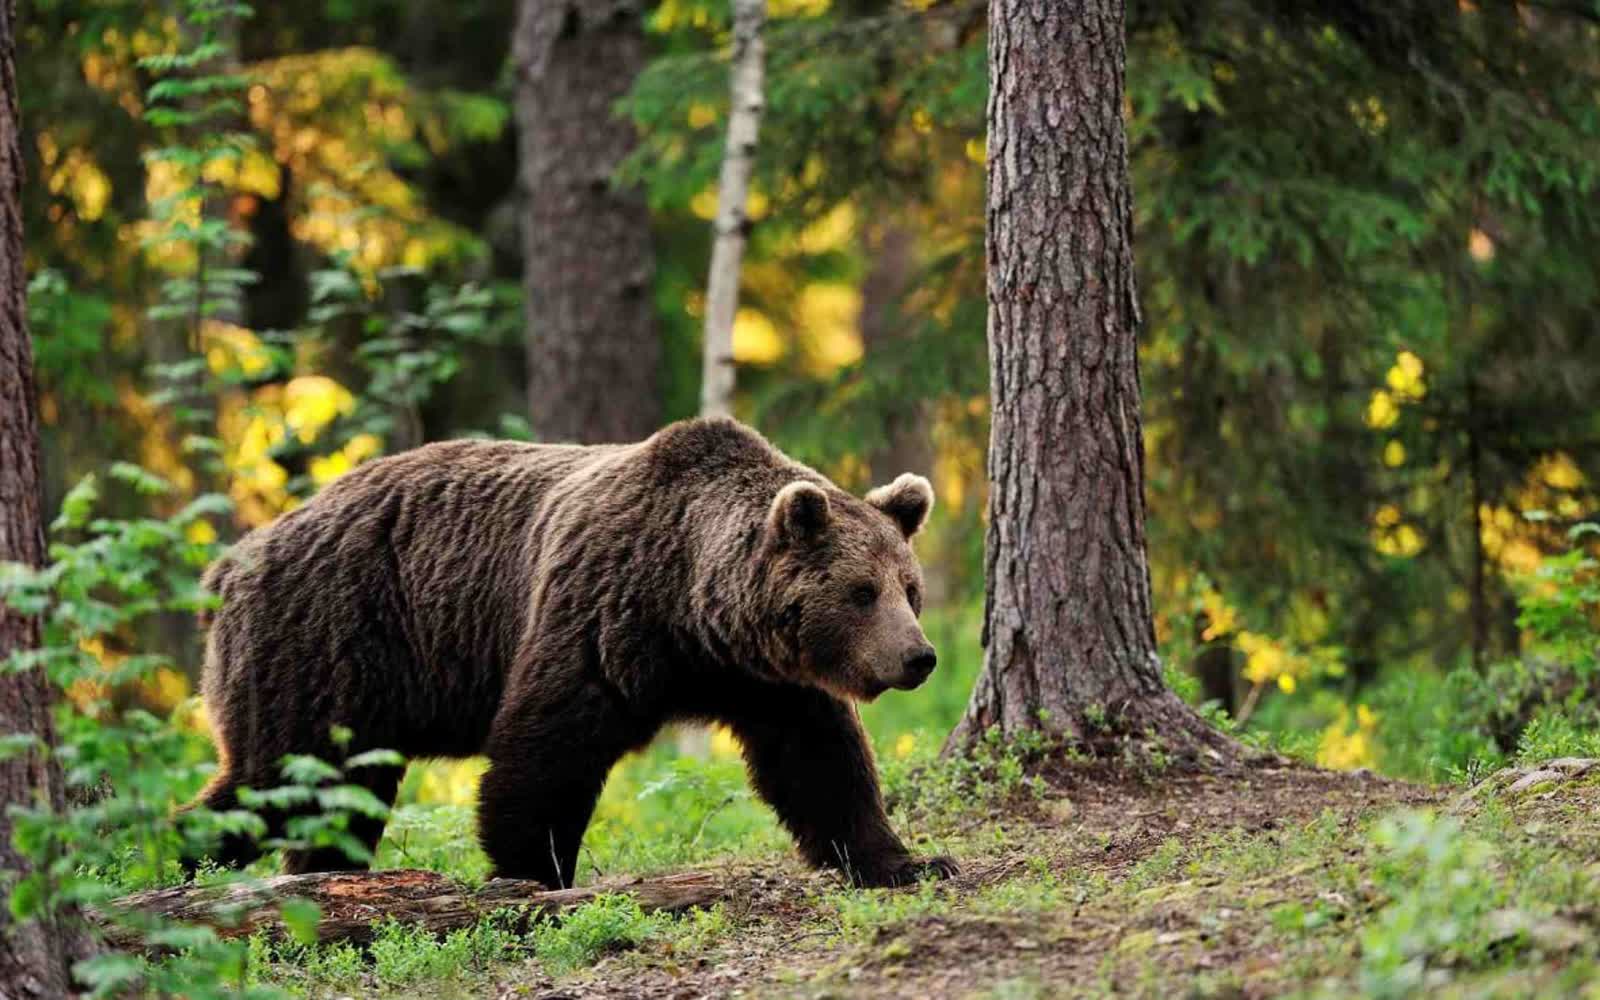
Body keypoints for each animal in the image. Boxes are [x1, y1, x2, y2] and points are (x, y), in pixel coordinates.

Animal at [194, 416, 956, 888]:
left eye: (909, 589)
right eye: (861, 592)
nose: (918, 657)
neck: (694, 609)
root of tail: (234, 561)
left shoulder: (767, 680)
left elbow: (821, 764)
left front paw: (907, 862)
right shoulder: (601, 614)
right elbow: (547, 749)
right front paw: (532, 871)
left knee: (334, 796)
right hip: (327, 641)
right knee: (276, 778)